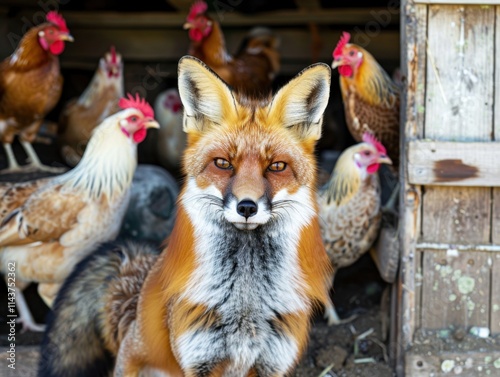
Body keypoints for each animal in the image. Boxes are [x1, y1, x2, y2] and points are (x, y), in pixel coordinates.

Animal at [39, 55, 334, 376]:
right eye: (223, 164)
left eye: (277, 166)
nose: (246, 207)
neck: (246, 305)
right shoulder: (198, 358)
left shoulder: (273, 362)